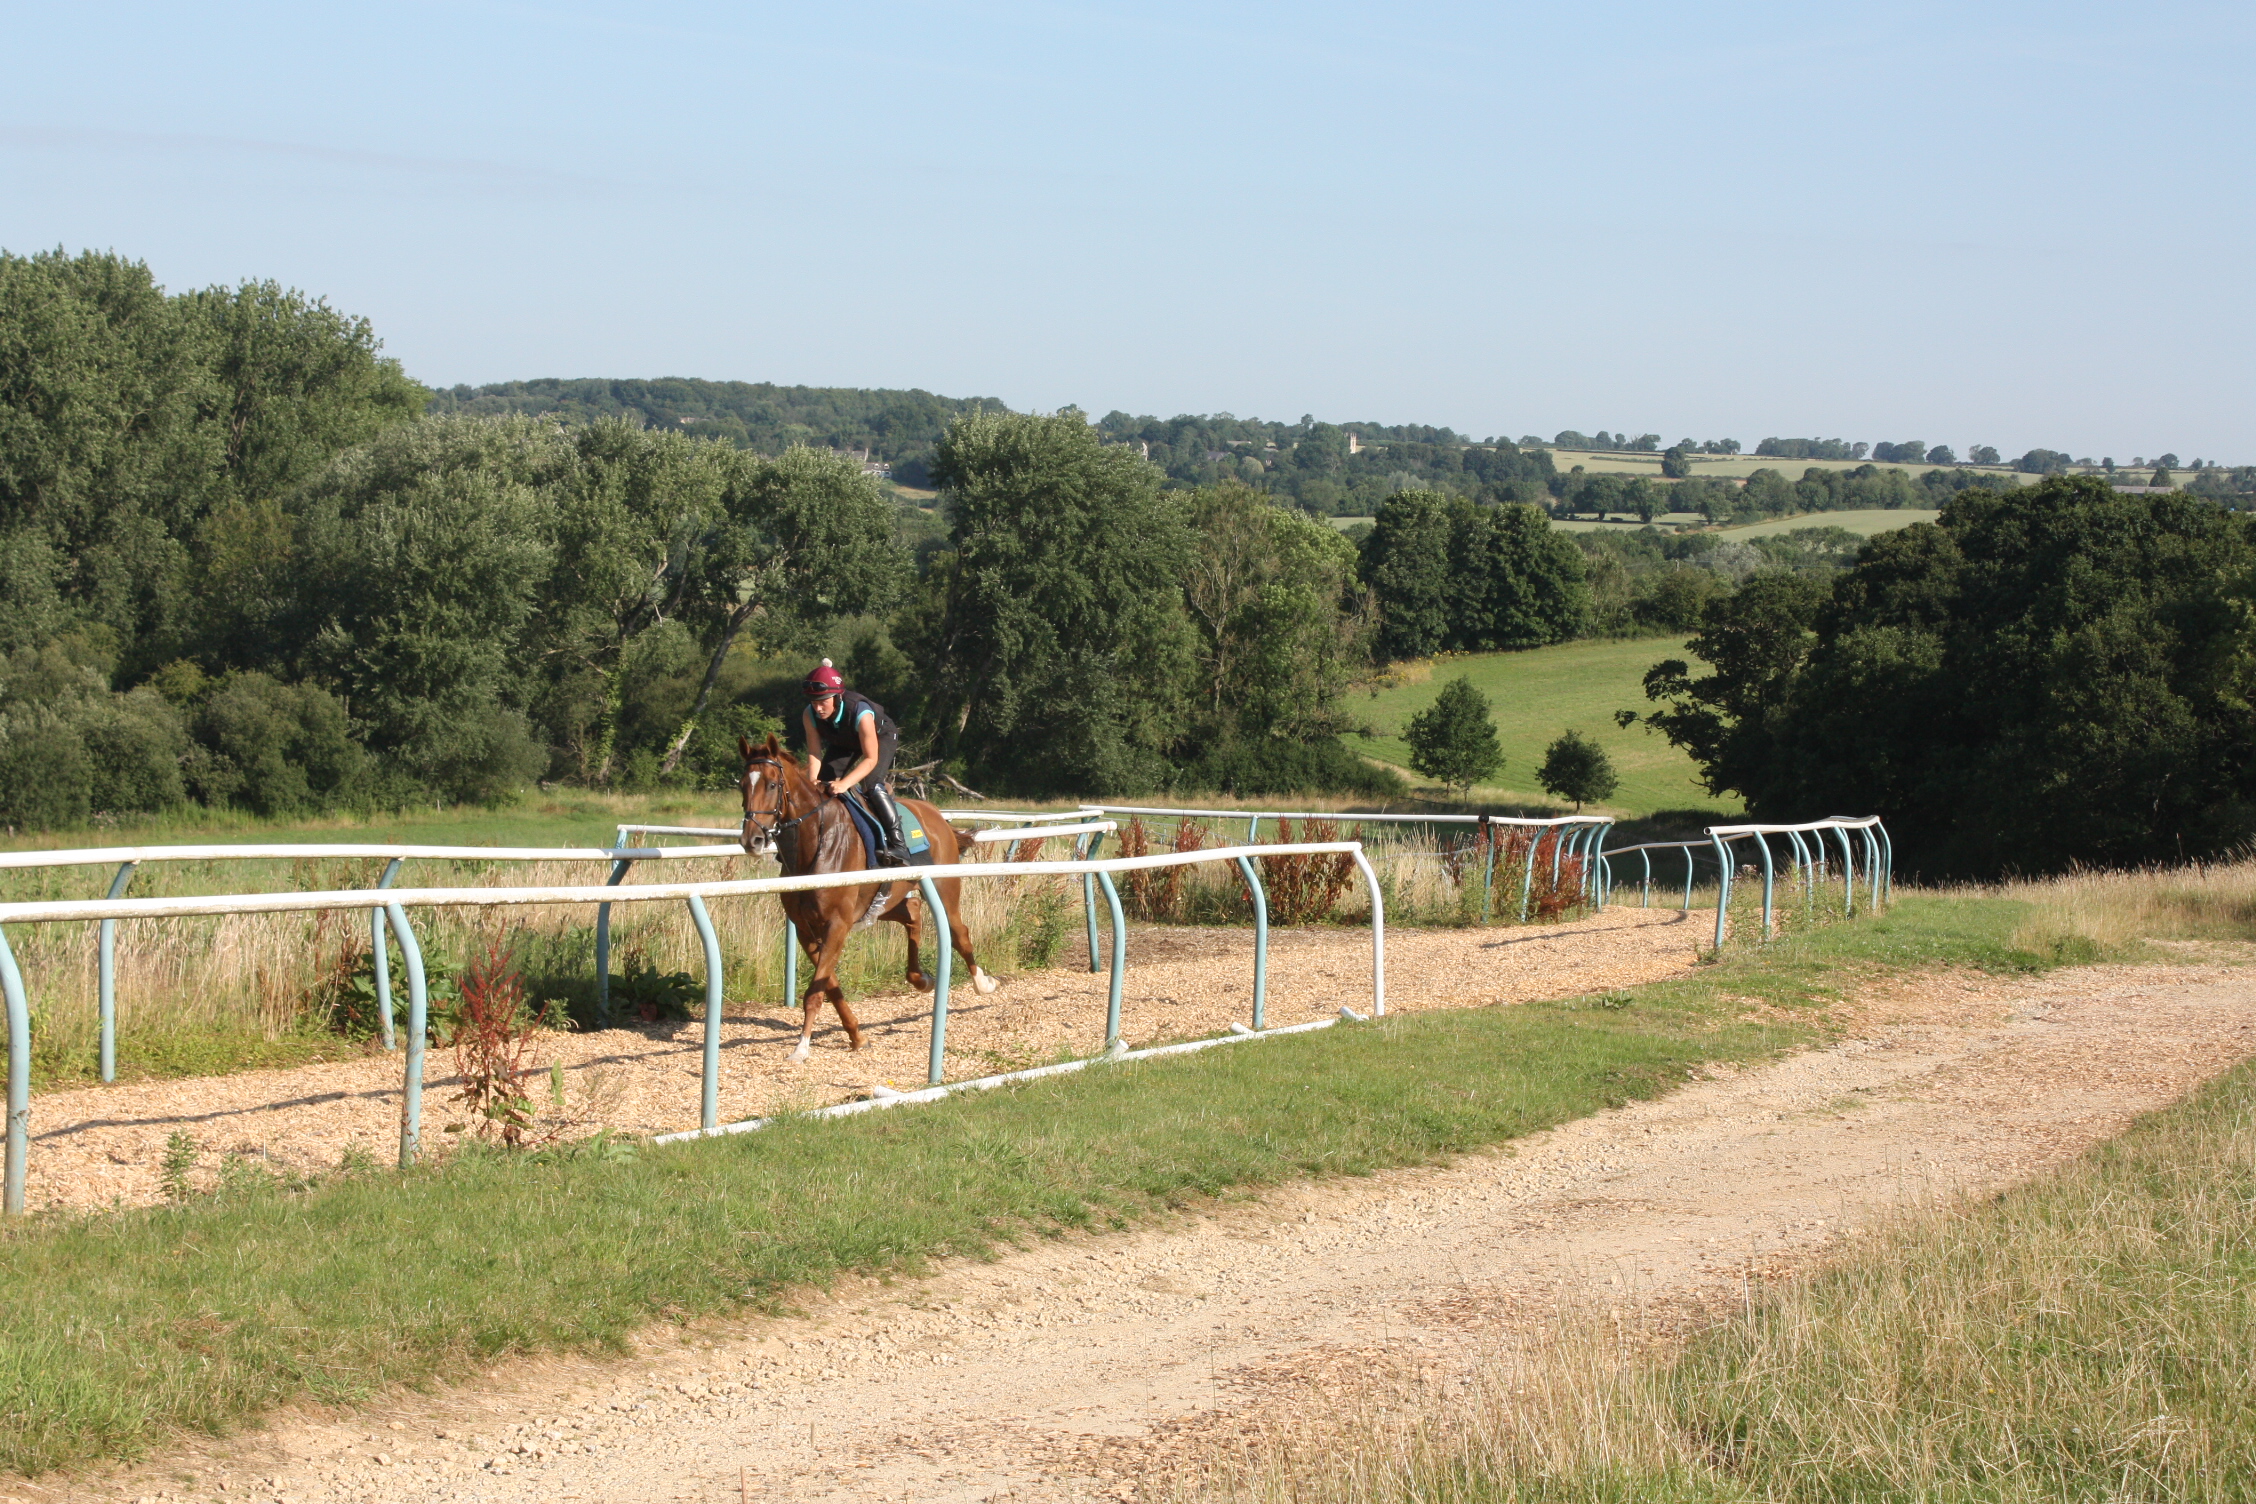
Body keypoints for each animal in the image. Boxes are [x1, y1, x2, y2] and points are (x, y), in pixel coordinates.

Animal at [739, 735, 997, 1064]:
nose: (752, 840)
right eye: (742, 785)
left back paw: (982, 983)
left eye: (772, 784)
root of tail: (936, 813)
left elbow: (815, 991)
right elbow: (830, 984)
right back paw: (920, 978)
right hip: (882, 900)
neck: (815, 845)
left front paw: (801, 1047)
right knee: (913, 911)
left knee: (959, 932)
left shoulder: (837, 924)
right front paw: (857, 1036)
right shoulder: (806, 929)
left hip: (944, 885)